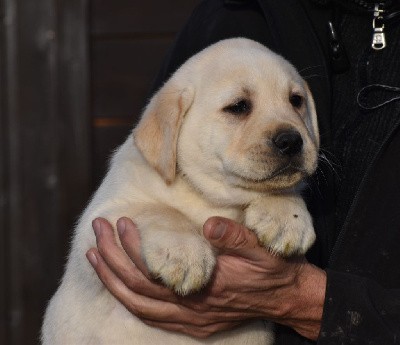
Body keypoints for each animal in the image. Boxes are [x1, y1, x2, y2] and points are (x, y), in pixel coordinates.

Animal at [42, 36, 318, 342]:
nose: (291, 141)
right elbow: (158, 211)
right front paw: (184, 254)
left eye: (296, 101)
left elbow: (281, 189)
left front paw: (287, 218)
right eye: (238, 106)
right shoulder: (97, 230)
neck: (210, 197)